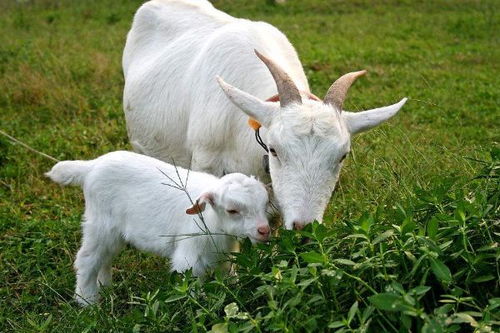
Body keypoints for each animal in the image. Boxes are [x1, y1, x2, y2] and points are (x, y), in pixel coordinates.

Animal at [45, 152, 272, 304]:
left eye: (264, 204)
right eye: (232, 210)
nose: (264, 230)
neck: (213, 221)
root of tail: (91, 167)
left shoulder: (224, 256)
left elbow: (228, 276)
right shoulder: (189, 258)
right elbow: (191, 284)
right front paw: (197, 304)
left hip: (113, 233)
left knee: (104, 258)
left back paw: (105, 289)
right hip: (101, 223)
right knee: (87, 259)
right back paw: (88, 302)